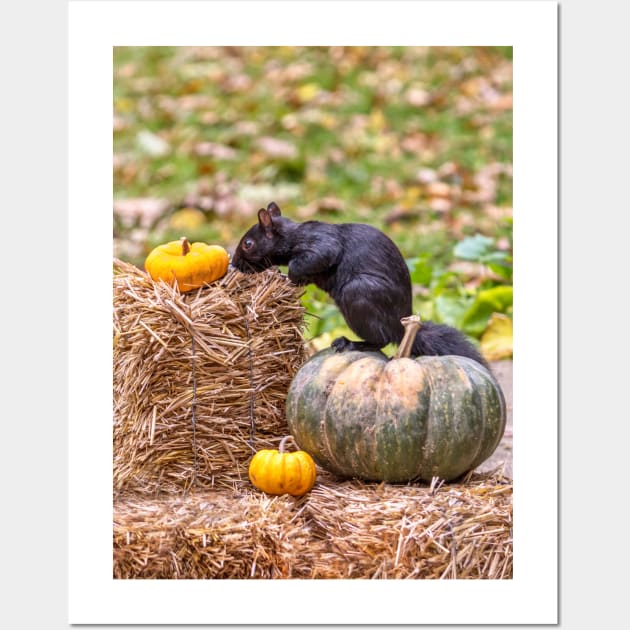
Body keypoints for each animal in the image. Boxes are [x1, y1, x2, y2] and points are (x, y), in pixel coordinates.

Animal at [235, 202, 492, 370]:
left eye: (247, 243)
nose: (236, 263)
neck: (293, 235)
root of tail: (401, 326)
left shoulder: (321, 244)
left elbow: (313, 258)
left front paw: (287, 275)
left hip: (358, 295)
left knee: (381, 340)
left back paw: (350, 343)